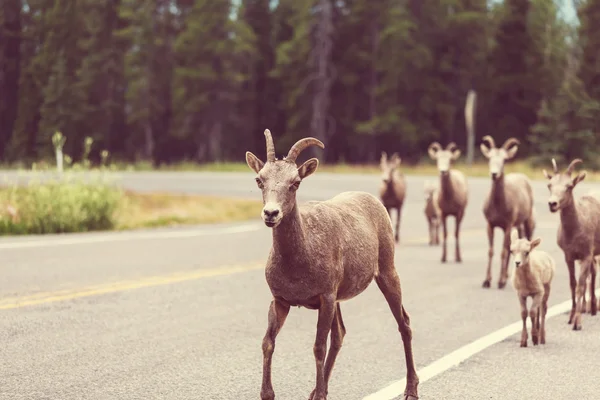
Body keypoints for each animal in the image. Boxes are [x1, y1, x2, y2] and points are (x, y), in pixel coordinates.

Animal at [246, 129, 420, 400]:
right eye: (259, 180)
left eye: (295, 182)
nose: (271, 213)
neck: (298, 262)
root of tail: (375, 201)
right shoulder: (281, 300)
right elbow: (268, 342)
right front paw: (268, 393)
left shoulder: (325, 297)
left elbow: (318, 346)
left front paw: (318, 395)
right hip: (341, 297)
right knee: (340, 334)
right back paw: (318, 389)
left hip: (387, 273)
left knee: (404, 323)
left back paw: (411, 389)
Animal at [480, 136, 536, 290]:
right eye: (489, 157)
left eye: (504, 160)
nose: (494, 174)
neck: (498, 206)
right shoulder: (490, 224)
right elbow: (491, 251)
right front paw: (486, 281)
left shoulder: (508, 225)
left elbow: (504, 251)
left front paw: (500, 282)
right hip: (517, 225)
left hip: (527, 220)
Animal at [544, 158, 600, 330]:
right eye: (549, 185)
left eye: (569, 186)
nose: (552, 204)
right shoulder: (569, 256)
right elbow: (573, 285)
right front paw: (570, 318)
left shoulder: (586, 255)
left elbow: (581, 285)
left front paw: (578, 322)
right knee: (593, 274)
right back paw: (592, 309)